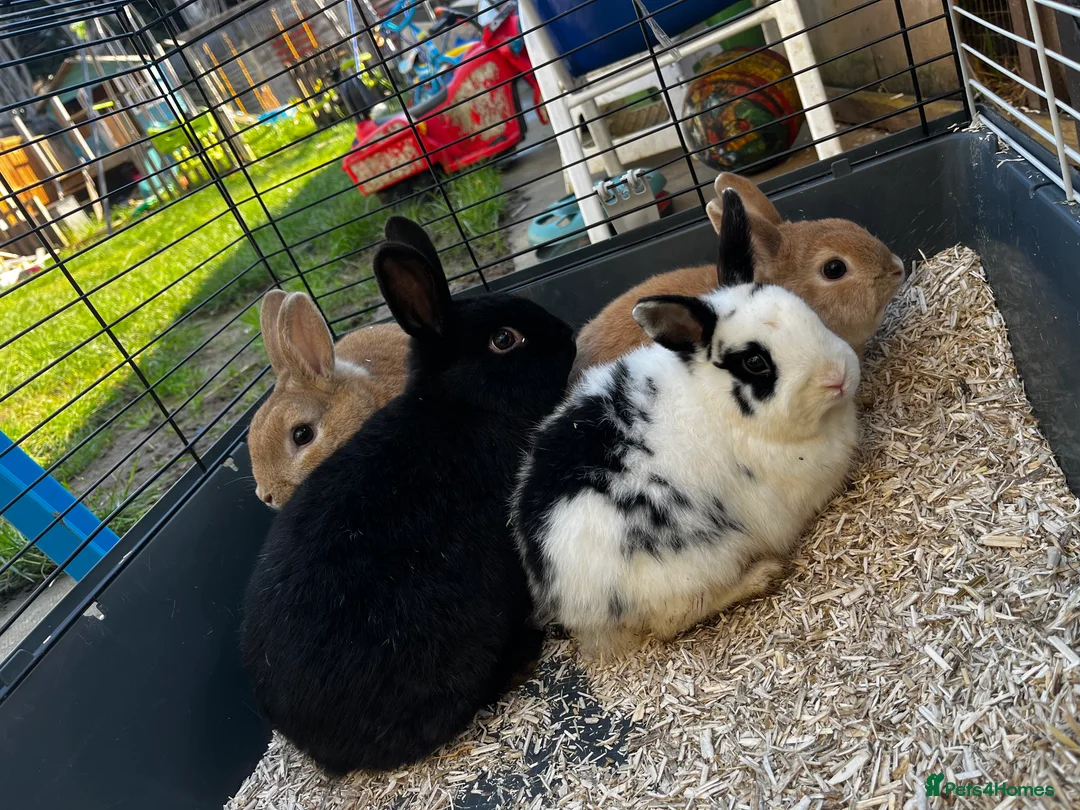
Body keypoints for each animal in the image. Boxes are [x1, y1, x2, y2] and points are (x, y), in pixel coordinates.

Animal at [512, 189, 861, 655]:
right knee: (673, 620)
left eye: (806, 312)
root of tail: (571, 602)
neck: (715, 402)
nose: (838, 376)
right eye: (755, 362)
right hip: (701, 560)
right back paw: (760, 576)